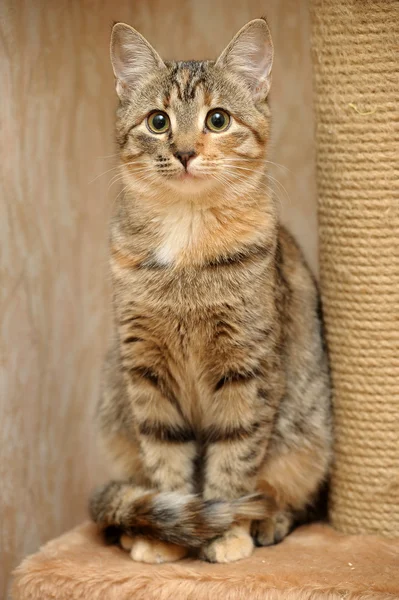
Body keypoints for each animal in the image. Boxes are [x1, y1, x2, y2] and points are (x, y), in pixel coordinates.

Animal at [90, 17, 334, 564]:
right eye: (158, 121)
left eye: (217, 119)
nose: (183, 152)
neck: (186, 241)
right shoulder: (146, 372)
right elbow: (166, 460)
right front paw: (167, 535)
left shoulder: (248, 369)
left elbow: (233, 462)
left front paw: (224, 533)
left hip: (307, 442)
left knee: (291, 498)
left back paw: (267, 522)